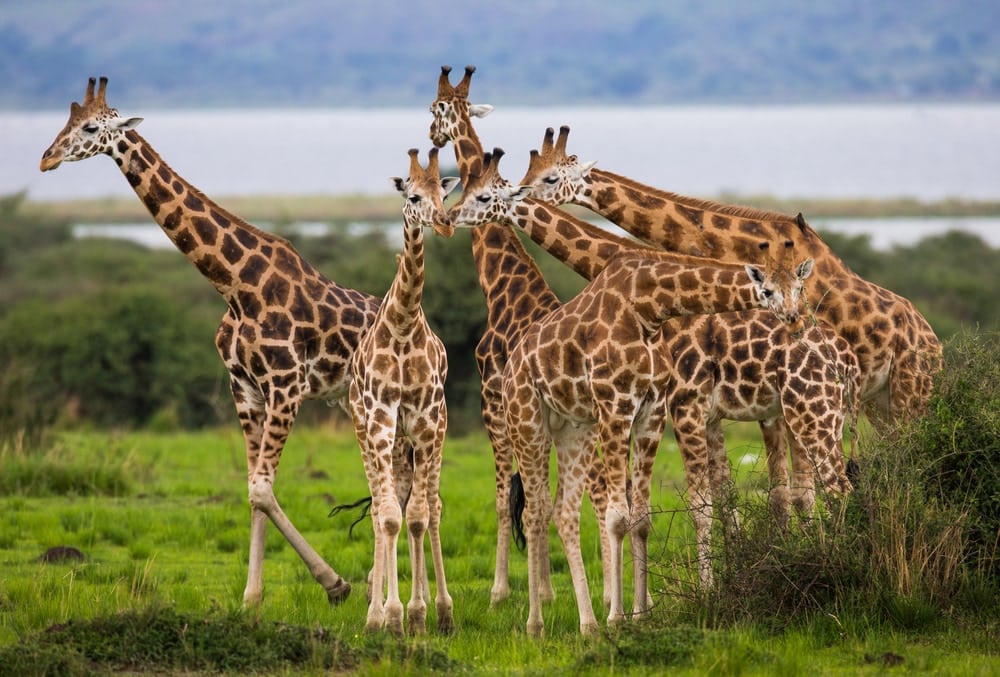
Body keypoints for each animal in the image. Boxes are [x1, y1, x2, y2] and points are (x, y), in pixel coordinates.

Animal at [39, 76, 376, 604]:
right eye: (64, 122)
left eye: (91, 127)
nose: (46, 158)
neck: (235, 287)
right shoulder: (246, 390)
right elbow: (256, 490)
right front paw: (252, 600)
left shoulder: (286, 385)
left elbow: (261, 488)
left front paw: (335, 584)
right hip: (356, 403)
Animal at [426, 62, 612, 604]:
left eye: (435, 109)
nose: (432, 135)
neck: (502, 289)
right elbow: (537, 500)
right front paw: (545, 590)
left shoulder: (492, 402)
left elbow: (507, 499)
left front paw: (503, 590)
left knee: (601, 494)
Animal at [450, 148, 816, 632]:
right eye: (768, 288)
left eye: (799, 285)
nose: (450, 214)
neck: (649, 305)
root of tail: (514, 368)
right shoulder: (620, 407)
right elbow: (621, 515)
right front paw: (619, 615)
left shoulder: (652, 413)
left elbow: (642, 517)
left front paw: (639, 613)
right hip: (524, 422)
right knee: (533, 509)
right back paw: (536, 622)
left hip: (572, 431)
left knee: (560, 510)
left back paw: (582, 621)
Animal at [520, 125, 940, 524]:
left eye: (550, 178)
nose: (520, 194)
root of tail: (935, 343)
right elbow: (770, 493)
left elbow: (788, 492)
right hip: (877, 405)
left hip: (909, 396)